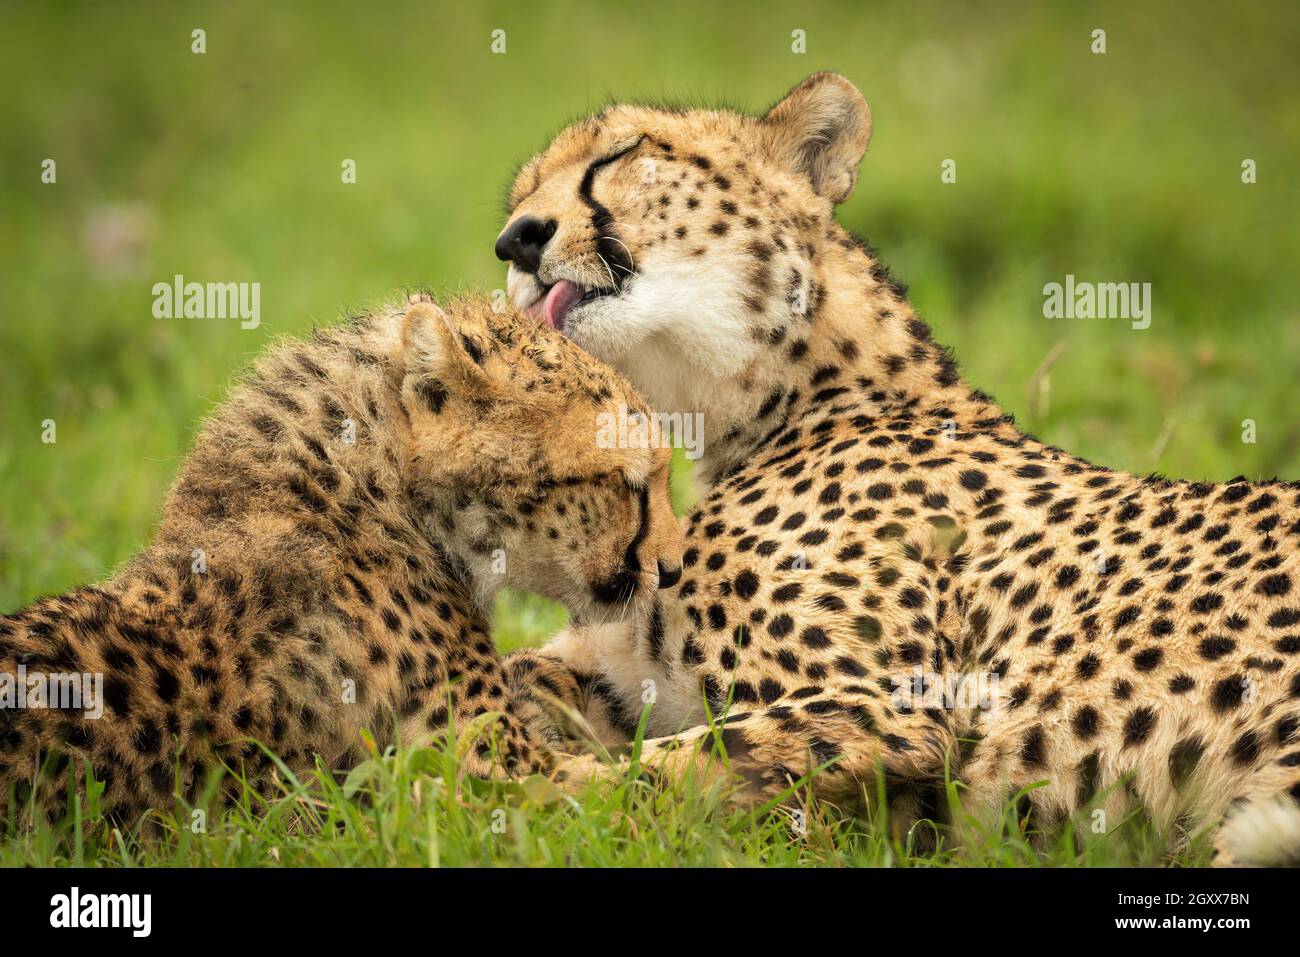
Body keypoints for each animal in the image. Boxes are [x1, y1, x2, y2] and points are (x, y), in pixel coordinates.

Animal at [493, 72, 1300, 868]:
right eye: (520, 195)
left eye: (621, 154)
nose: (515, 241)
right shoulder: (629, 671)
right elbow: (521, 678)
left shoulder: (897, 715)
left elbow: (647, 770)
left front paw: (503, 797)